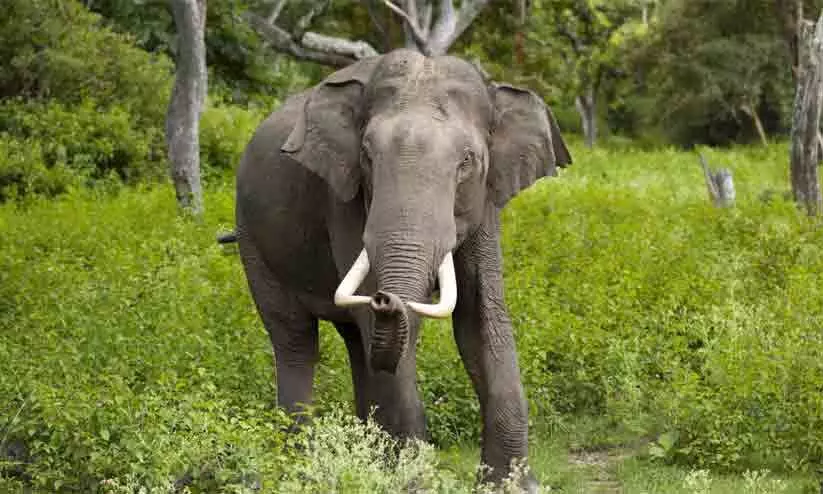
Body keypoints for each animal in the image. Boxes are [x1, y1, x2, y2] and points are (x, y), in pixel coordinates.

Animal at [229, 48, 568, 488]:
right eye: (367, 156)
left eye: (467, 161)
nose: (385, 298)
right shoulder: (343, 197)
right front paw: (412, 483)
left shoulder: (487, 200)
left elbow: (480, 318)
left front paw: (511, 487)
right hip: (252, 237)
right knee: (295, 340)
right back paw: (299, 466)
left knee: (356, 343)